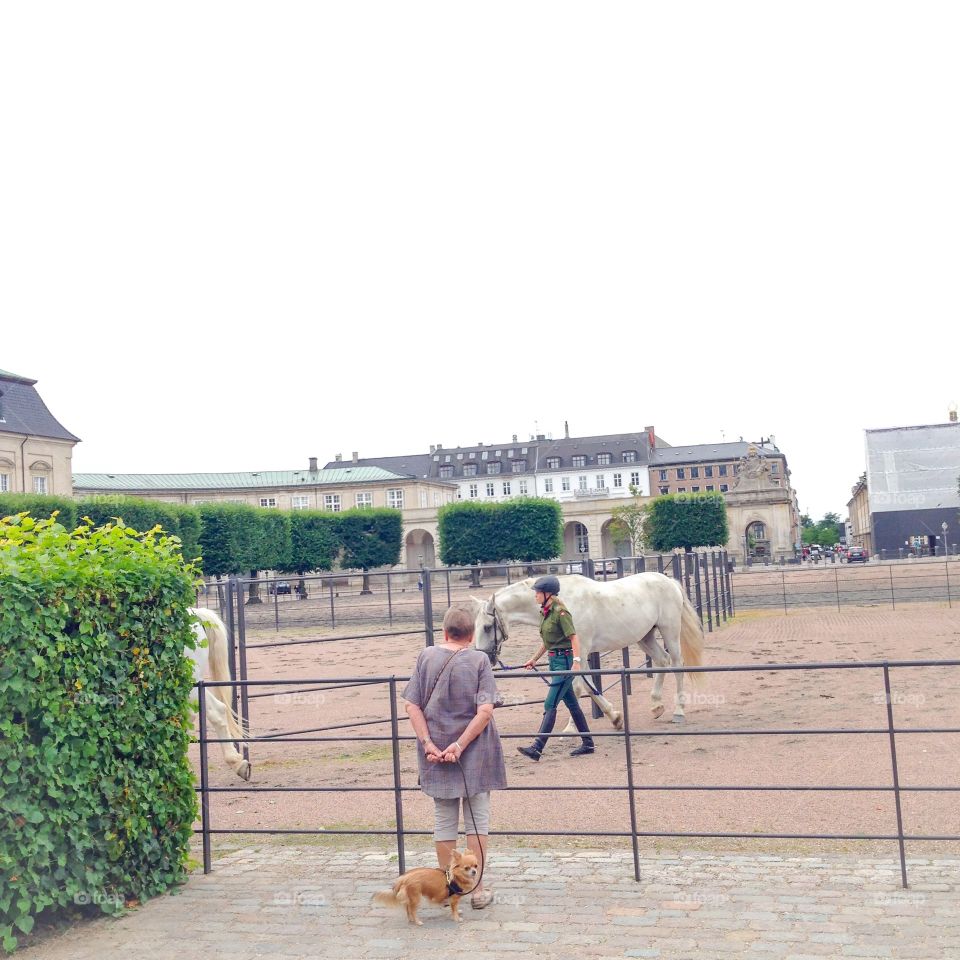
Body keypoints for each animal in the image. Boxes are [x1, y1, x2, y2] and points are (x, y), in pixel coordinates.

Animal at [472, 572, 704, 724]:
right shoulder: (577, 655)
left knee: (677, 664)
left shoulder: (580, 652)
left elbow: (577, 688)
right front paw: (614, 717)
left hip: (670, 631)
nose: (485, 658)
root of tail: (669, 580)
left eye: (487, 626)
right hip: (645, 637)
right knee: (662, 660)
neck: (562, 601)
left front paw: (571, 728)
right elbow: (588, 686)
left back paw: (679, 712)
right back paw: (656, 706)